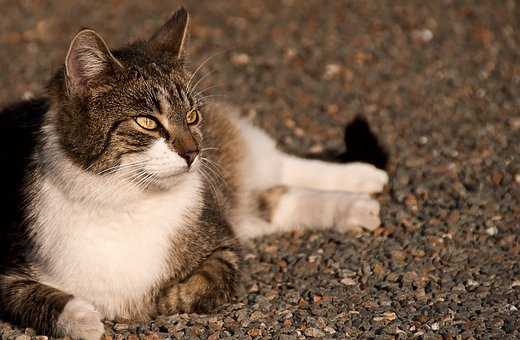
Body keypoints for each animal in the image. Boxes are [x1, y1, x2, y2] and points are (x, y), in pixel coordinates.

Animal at [0, 5, 386, 340]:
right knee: (275, 199)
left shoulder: (224, 245)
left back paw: (364, 181)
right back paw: (357, 205)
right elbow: (39, 300)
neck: (126, 201)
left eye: (192, 116)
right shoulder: (7, 271)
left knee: (284, 167)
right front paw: (84, 319)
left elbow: (197, 288)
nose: (192, 153)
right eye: (147, 122)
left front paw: (155, 300)